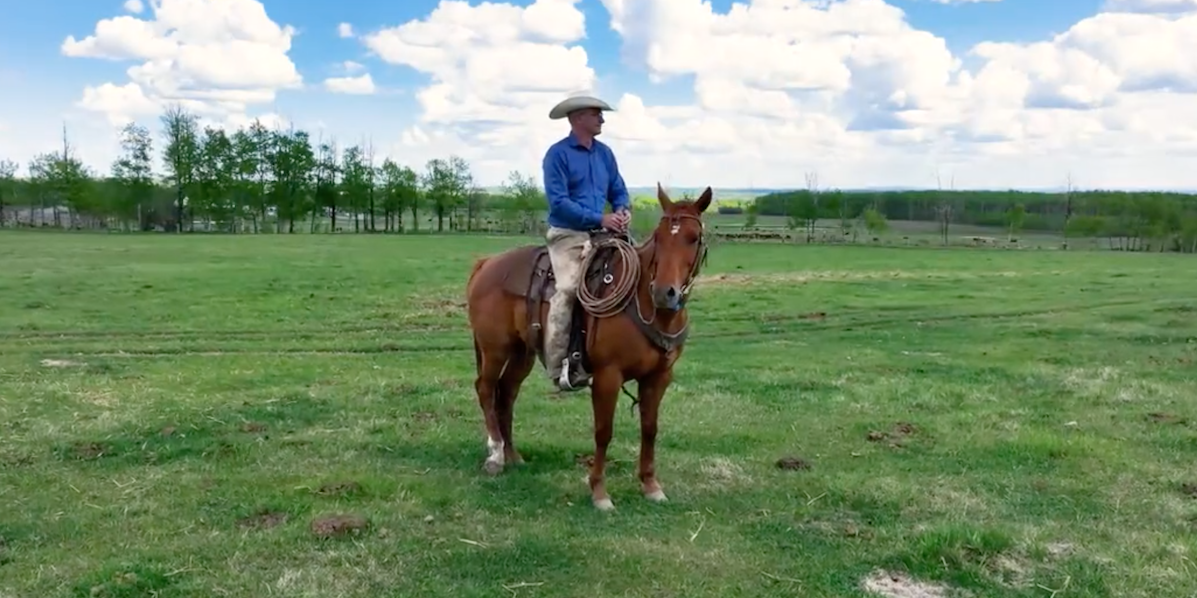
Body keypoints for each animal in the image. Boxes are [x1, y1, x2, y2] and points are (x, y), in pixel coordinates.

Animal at [464, 181, 708, 509]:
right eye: (659, 237)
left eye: (693, 238)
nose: (664, 293)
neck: (643, 303)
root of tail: (486, 264)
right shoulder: (608, 376)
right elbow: (604, 431)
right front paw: (599, 493)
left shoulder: (659, 377)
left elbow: (650, 428)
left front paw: (650, 485)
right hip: (495, 350)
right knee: (486, 389)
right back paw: (495, 455)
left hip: (521, 354)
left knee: (507, 394)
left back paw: (513, 455)